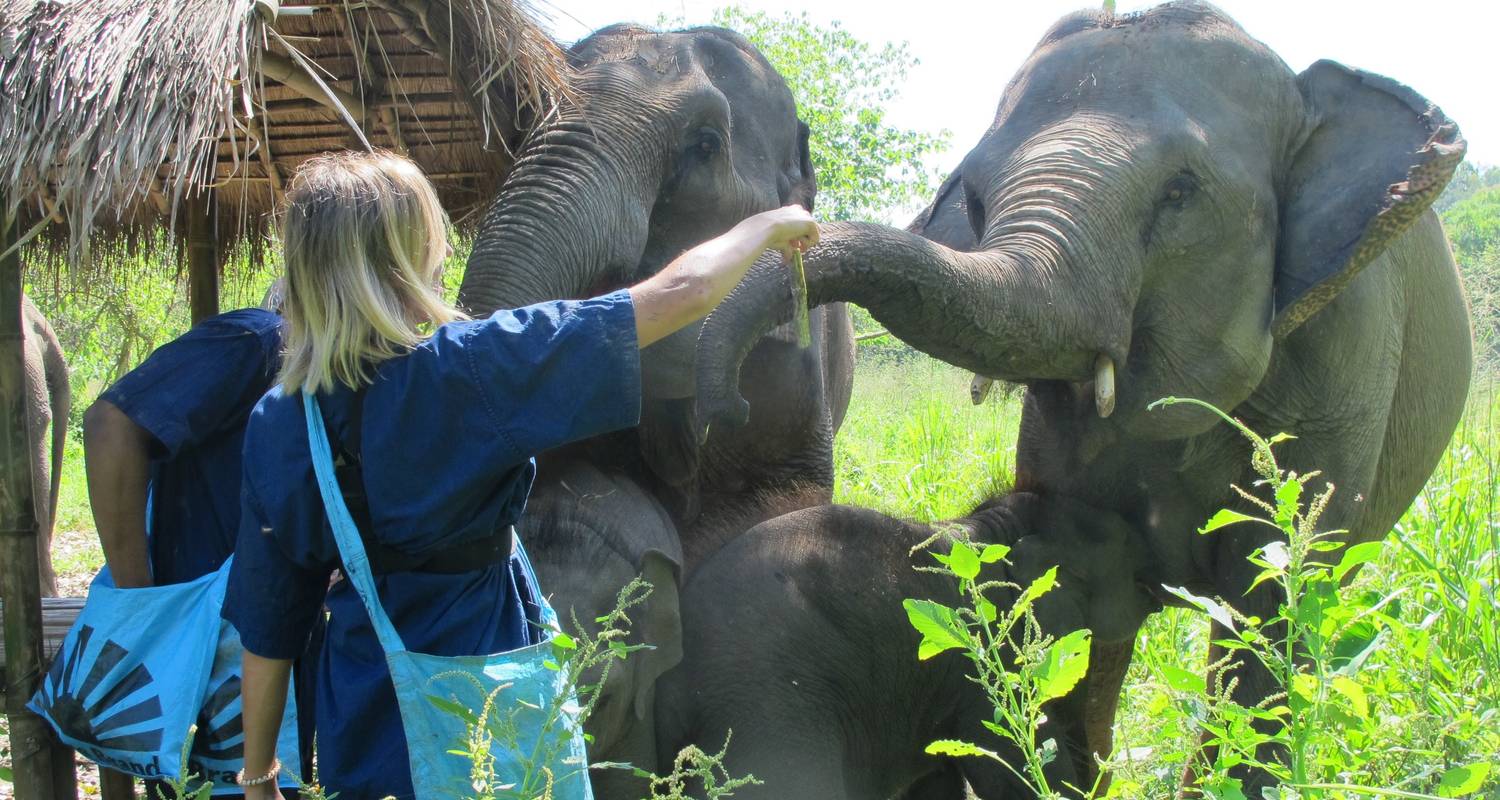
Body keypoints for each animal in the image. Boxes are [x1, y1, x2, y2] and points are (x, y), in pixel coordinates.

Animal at [696, 1, 1470, 786]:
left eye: (1181, 192)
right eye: (974, 196)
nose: (724, 406)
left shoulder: (1346, 357)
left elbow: (1275, 596)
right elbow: (1077, 632)